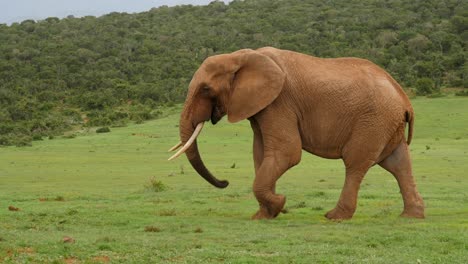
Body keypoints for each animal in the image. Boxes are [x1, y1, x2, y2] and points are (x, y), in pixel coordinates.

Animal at [168, 47, 424, 221]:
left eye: (206, 89)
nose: (225, 181)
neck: (240, 56)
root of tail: (405, 100)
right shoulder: (261, 107)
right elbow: (260, 154)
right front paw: (265, 215)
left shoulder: (279, 102)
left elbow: (286, 153)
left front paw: (279, 204)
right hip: (387, 123)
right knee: (398, 164)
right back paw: (412, 216)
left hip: (373, 120)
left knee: (355, 163)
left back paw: (334, 217)